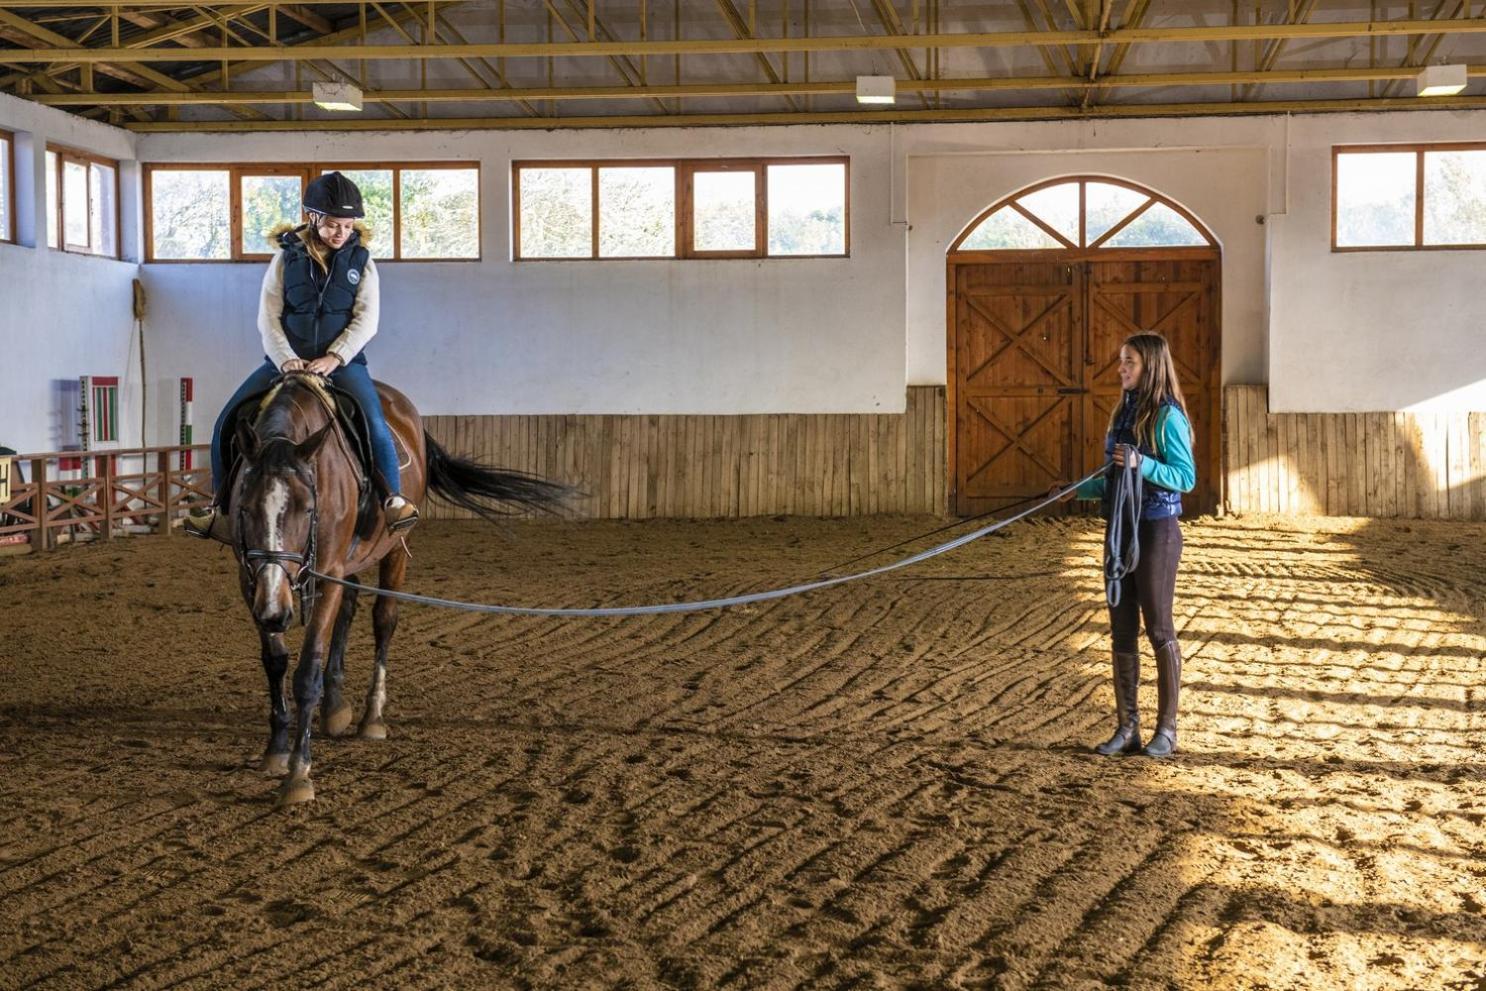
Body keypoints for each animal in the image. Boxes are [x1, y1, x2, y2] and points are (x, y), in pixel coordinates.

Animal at [224, 371, 561, 808]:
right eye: (245, 508)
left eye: (307, 508)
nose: (276, 612)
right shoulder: (251, 578)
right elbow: (276, 661)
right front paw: (277, 748)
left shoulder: (326, 572)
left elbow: (307, 671)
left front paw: (299, 773)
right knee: (350, 604)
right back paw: (336, 707)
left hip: (394, 548)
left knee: (383, 620)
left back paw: (372, 717)